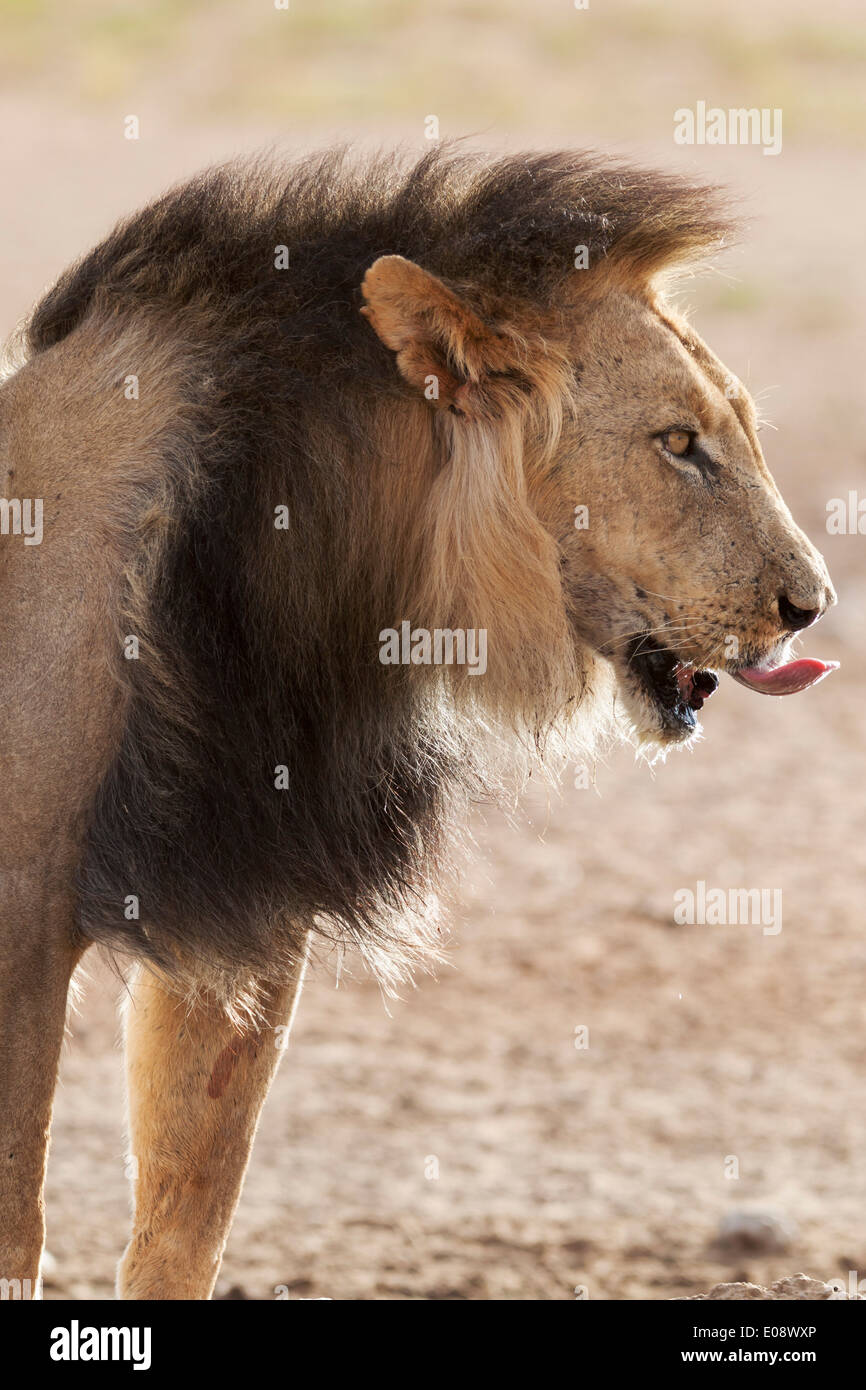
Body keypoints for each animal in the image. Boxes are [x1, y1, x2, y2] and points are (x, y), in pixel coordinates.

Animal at [0, 146, 839, 1295]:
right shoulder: (21, 920)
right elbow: (19, 1225)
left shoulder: (252, 906)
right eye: (678, 444)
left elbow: (186, 1217)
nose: (812, 605)